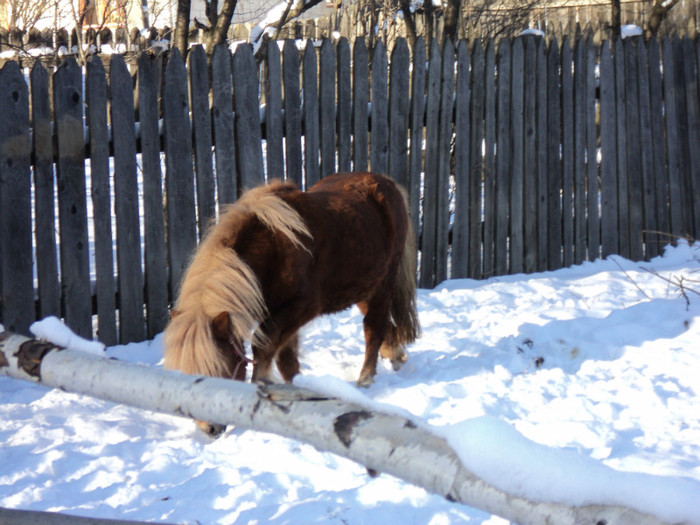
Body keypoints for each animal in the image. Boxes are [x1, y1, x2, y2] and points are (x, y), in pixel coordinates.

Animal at [164, 172, 422, 434]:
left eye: (221, 370)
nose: (210, 429)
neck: (272, 248)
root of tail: (388, 183)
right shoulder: (282, 317)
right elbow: (286, 360)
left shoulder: (299, 308)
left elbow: (264, 348)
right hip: (362, 288)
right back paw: (395, 354)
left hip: (383, 284)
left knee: (373, 329)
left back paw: (365, 379)